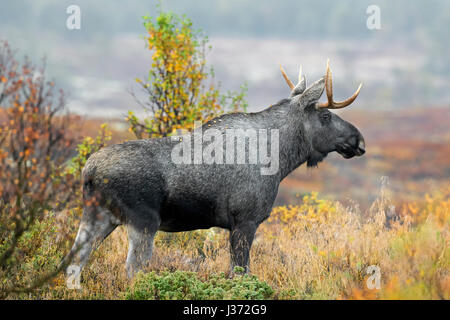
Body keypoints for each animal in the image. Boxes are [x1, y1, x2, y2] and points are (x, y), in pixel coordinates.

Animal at [64, 60, 366, 278]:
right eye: (325, 115)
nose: (358, 140)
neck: (280, 160)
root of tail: (88, 172)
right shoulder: (245, 221)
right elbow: (240, 273)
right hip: (143, 221)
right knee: (131, 269)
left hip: (97, 216)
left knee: (73, 261)